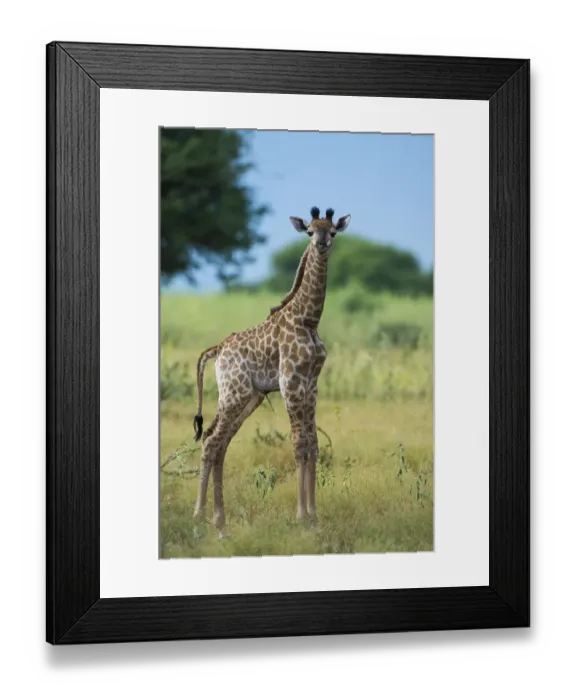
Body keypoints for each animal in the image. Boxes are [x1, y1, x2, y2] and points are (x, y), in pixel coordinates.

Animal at [192, 206, 351, 538]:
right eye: (309, 231)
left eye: (332, 231)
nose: (321, 244)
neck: (309, 319)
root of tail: (217, 350)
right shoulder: (291, 383)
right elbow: (299, 445)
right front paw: (303, 518)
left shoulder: (311, 385)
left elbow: (313, 444)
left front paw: (315, 518)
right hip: (234, 393)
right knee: (212, 441)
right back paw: (199, 520)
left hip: (248, 396)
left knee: (217, 440)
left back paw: (221, 524)